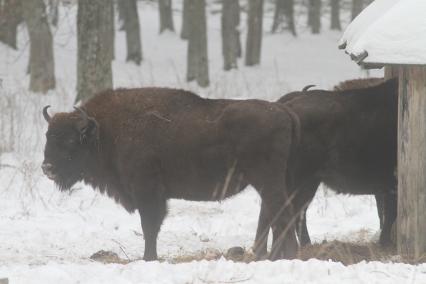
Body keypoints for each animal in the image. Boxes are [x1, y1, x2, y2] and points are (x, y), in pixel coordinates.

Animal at [40, 87, 300, 260]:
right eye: (48, 136)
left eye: (71, 140)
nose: (47, 168)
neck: (105, 132)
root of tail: (283, 111)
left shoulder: (148, 192)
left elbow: (149, 226)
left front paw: (148, 258)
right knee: (276, 214)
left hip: (268, 181)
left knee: (282, 213)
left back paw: (287, 255)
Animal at [253, 77, 396, 258]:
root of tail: (287, 109)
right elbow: (390, 213)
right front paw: (386, 243)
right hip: (301, 181)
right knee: (287, 213)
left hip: (304, 182)